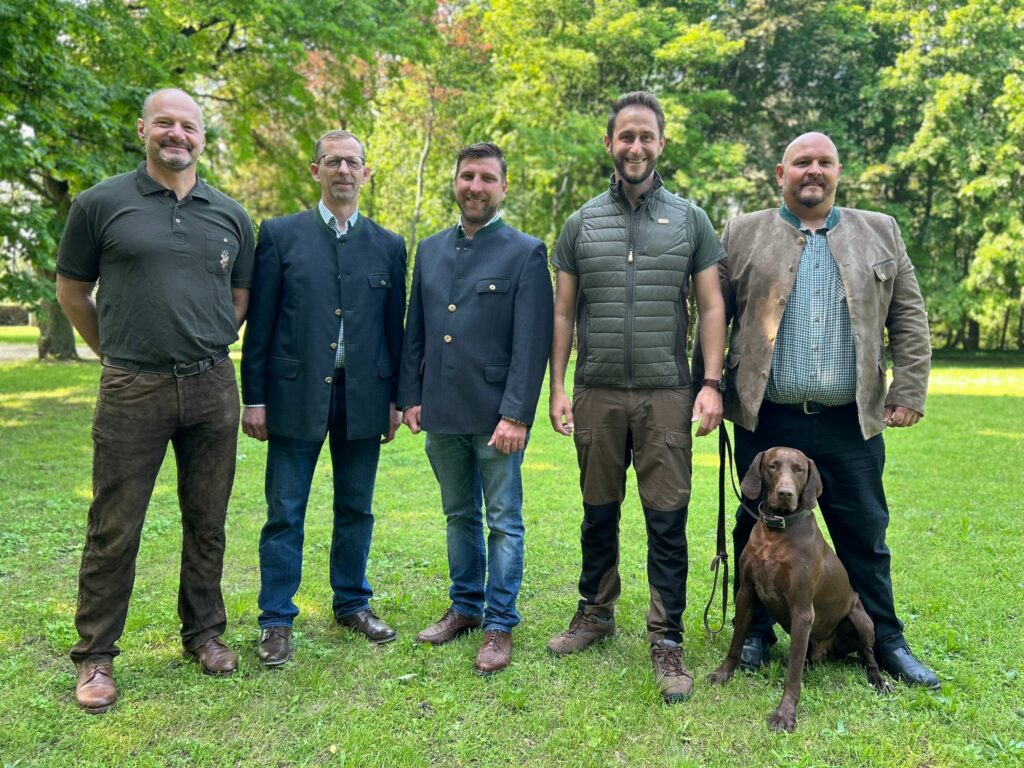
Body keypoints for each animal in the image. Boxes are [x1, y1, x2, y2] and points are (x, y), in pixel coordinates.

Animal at [708, 444, 892, 733]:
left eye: (799, 469)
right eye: (772, 466)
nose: (786, 493)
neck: (777, 533)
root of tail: (830, 653)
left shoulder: (803, 612)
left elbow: (792, 674)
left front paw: (785, 713)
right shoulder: (746, 594)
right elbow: (736, 643)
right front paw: (724, 673)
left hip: (860, 619)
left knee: (869, 655)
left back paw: (879, 680)